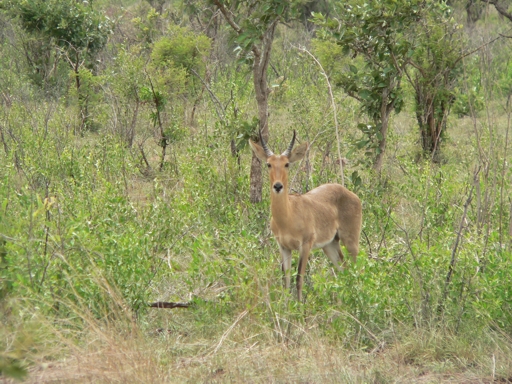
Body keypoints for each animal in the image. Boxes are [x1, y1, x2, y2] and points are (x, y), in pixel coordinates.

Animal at [249, 130, 362, 302]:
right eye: (269, 163)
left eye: (287, 163)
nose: (277, 186)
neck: (288, 217)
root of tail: (351, 193)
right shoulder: (283, 247)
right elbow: (286, 280)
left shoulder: (305, 245)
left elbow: (299, 279)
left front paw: (300, 305)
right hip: (330, 244)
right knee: (344, 269)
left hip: (351, 241)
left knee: (356, 269)